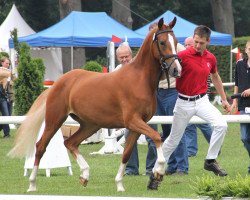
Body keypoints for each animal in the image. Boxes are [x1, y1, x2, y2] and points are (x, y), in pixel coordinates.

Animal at [8, 17, 182, 192]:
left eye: (175, 41)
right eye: (162, 42)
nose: (176, 70)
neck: (139, 80)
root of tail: (57, 83)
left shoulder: (136, 126)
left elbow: (126, 154)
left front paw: (120, 184)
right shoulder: (133, 121)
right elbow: (157, 137)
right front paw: (158, 173)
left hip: (90, 125)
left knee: (70, 142)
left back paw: (84, 175)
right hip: (54, 120)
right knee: (40, 146)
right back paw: (32, 184)